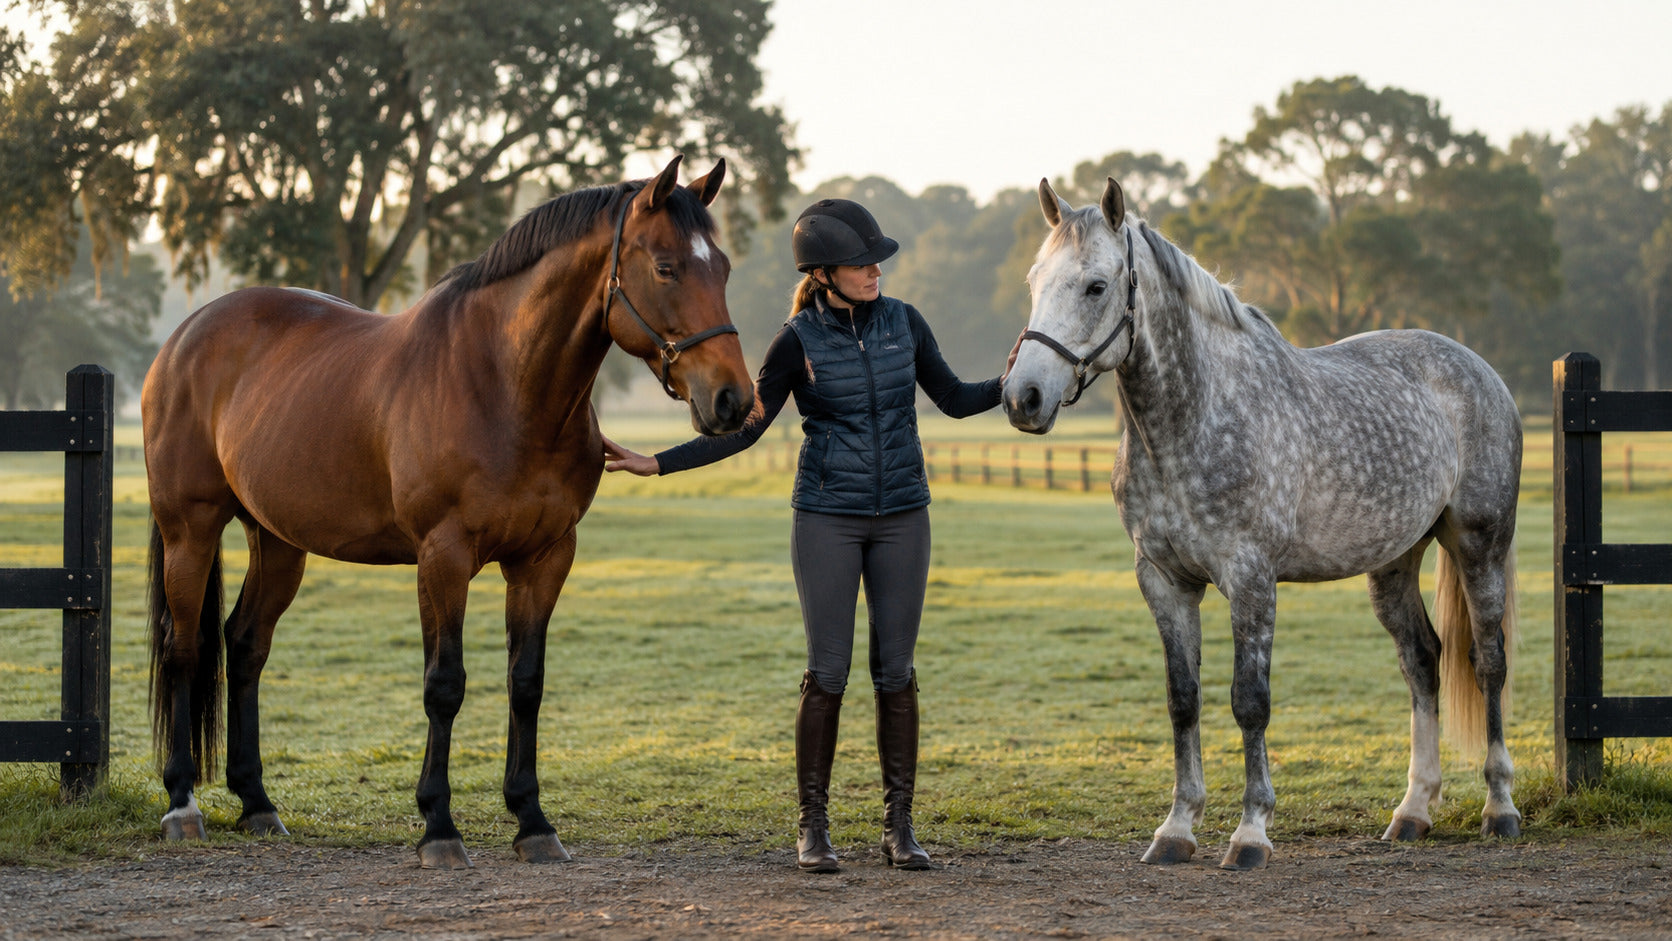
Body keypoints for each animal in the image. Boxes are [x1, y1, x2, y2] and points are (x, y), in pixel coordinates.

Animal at [141, 156, 754, 869]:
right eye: (666, 267)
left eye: (724, 268)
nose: (734, 400)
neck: (504, 388)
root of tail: (185, 337)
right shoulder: (444, 555)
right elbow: (446, 683)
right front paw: (439, 826)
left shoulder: (545, 559)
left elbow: (525, 682)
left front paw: (532, 820)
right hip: (191, 530)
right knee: (184, 649)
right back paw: (182, 804)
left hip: (278, 541)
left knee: (244, 645)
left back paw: (257, 803)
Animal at [1002, 177, 1522, 870]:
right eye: (1035, 281)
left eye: (1095, 285)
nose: (1022, 398)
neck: (1193, 421)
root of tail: (1478, 368)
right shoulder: (1163, 580)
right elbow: (1183, 700)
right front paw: (1177, 828)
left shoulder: (1250, 579)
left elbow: (1250, 702)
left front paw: (1250, 833)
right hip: (1394, 561)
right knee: (1422, 662)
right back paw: (1413, 811)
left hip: (1479, 543)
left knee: (1488, 662)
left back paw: (1500, 807)